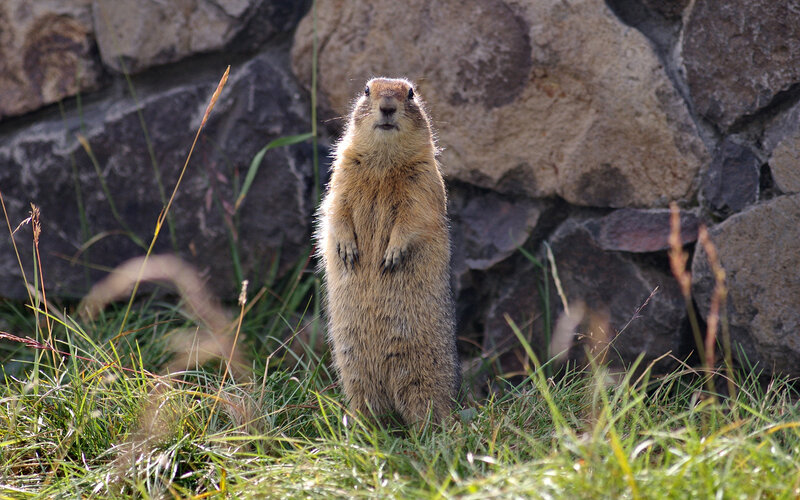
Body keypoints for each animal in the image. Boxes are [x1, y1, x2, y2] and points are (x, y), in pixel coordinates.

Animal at [317, 77, 460, 427]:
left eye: (411, 93)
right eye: (367, 90)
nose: (387, 107)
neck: (383, 162)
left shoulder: (423, 182)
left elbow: (413, 219)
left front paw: (391, 256)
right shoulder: (341, 174)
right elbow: (336, 209)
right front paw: (347, 250)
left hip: (423, 370)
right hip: (353, 365)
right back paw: (360, 426)